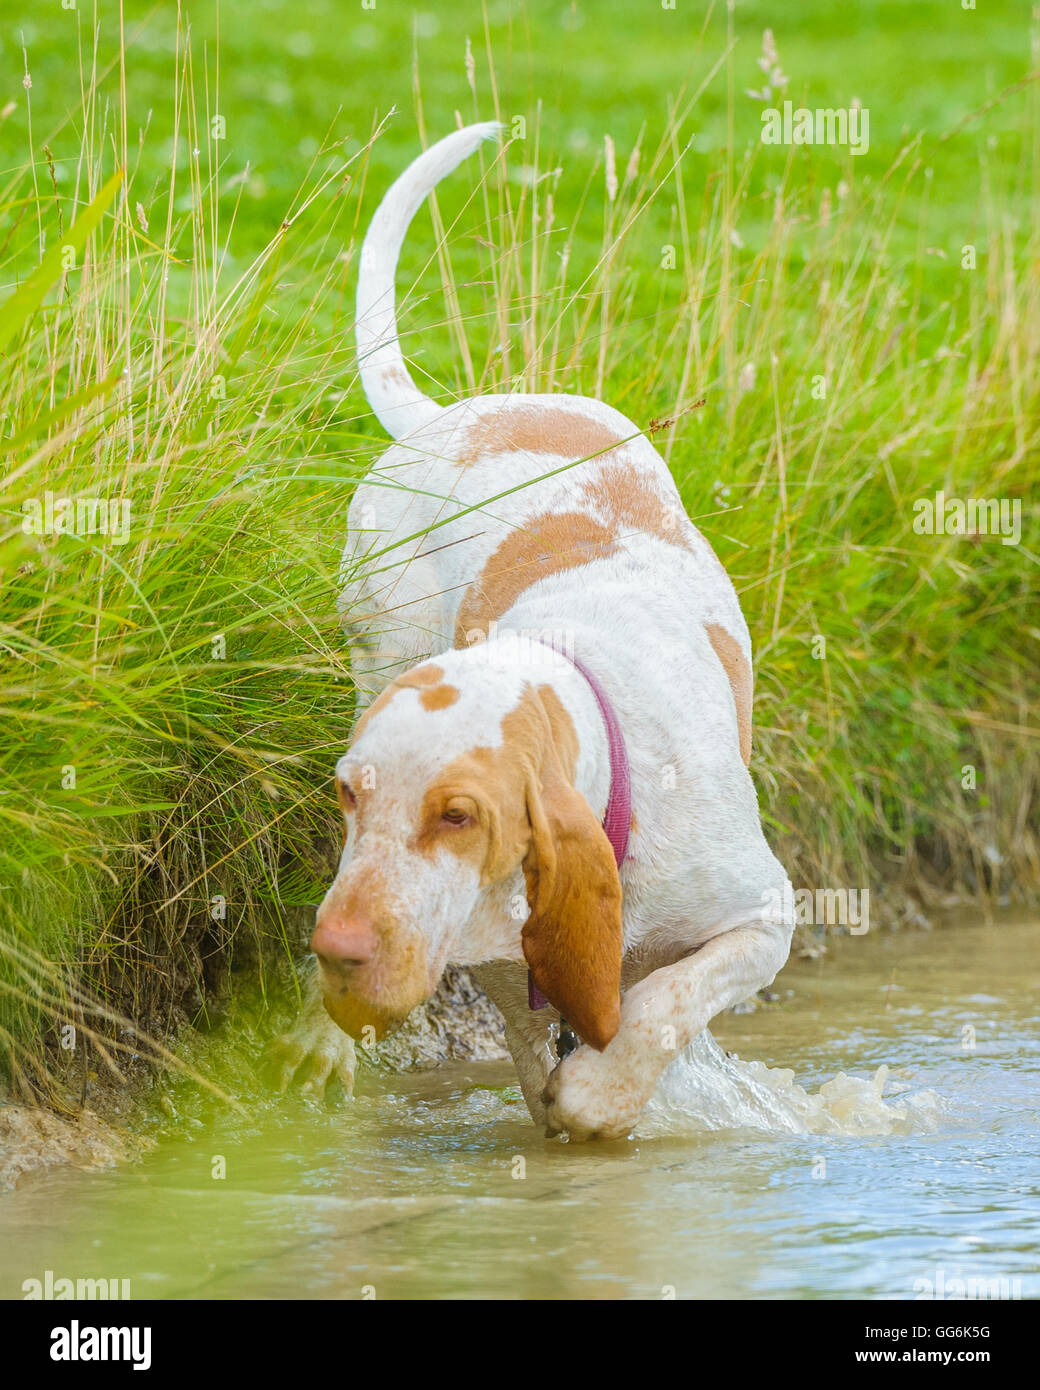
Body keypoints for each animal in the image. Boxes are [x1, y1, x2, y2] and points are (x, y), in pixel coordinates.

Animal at [278, 122, 795, 1139]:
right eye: (349, 796)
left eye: (458, 815)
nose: (338, 947)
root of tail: (448, 413)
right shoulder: (490, 952)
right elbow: (535, 1048)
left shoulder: (766, 917)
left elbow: (661, 1005)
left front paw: (600, 1095)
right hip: (379, 646)